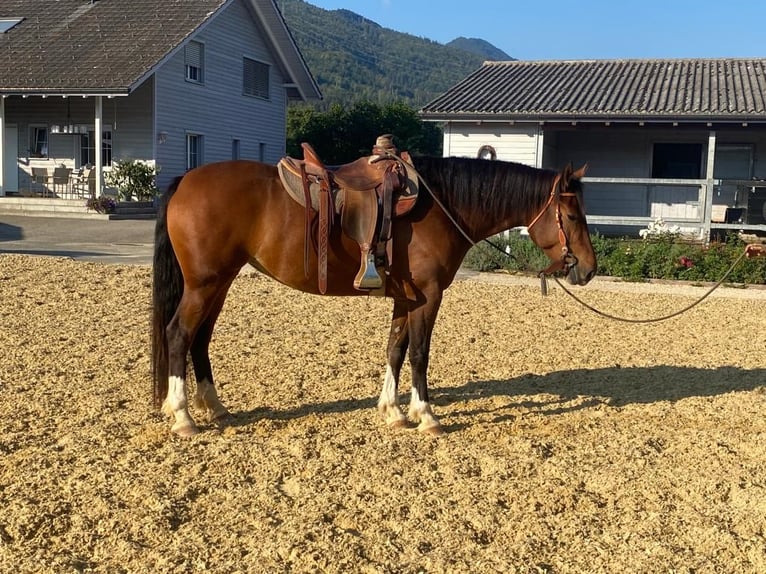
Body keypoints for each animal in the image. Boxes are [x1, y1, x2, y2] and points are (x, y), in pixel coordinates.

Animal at [152, 155, 600, 438]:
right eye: (572, 215)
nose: (589, 268)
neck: (442, 206)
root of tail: (185, 181)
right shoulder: (428, 297)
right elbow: (419, 354)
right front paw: (426, 415)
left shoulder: (406, 298)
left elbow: (395, 350)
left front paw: (393, 410)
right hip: (205, 284)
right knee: (178, 335)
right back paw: (183, 416)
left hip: (219, 283)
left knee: (200, 340)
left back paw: (214, 407)